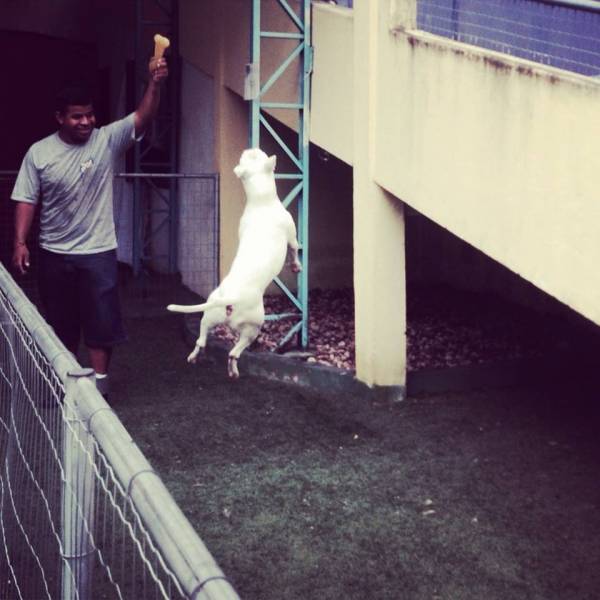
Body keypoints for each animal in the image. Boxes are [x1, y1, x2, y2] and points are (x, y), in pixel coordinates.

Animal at [166, 148, 300, 378]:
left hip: (210, 316)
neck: (261, 199)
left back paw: (195, 357)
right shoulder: (291, 236)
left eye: (253, 156)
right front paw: (296, 266)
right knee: (235, 351)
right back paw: (233, 368)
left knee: (202, 339)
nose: (251, 149)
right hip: (254, 325)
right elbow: (295, 249)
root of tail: (231, 299)